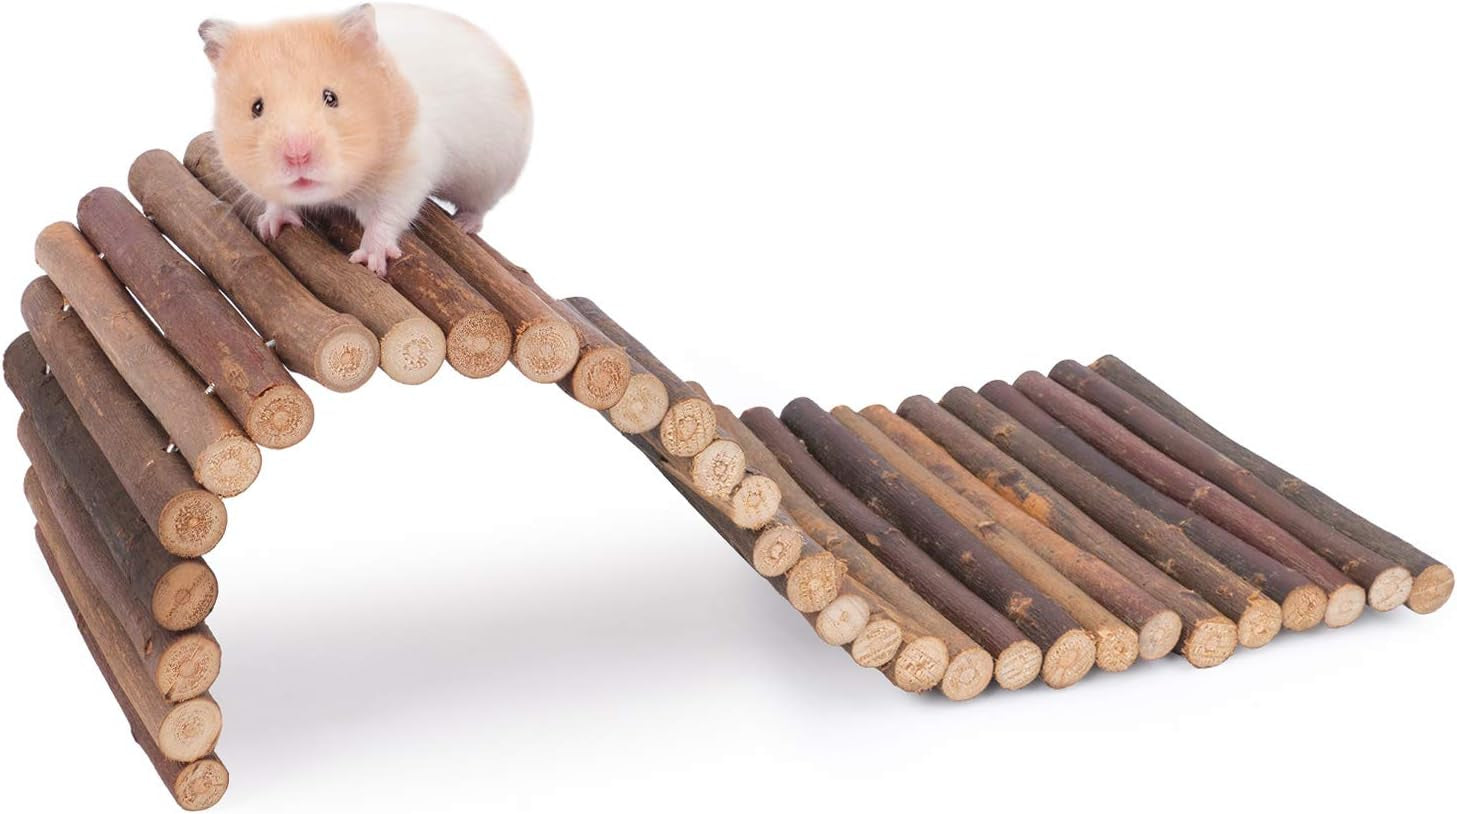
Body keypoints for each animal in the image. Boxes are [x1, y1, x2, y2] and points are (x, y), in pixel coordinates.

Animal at [199, 3, 532, 275]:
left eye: (331, 97)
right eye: (256, 107)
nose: (297, 157)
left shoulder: (409, 171)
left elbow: (387, 216)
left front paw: (370, 260)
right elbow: (275, 201)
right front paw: (269, 228)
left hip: (490, 177)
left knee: (479, 208)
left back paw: (463, 225)